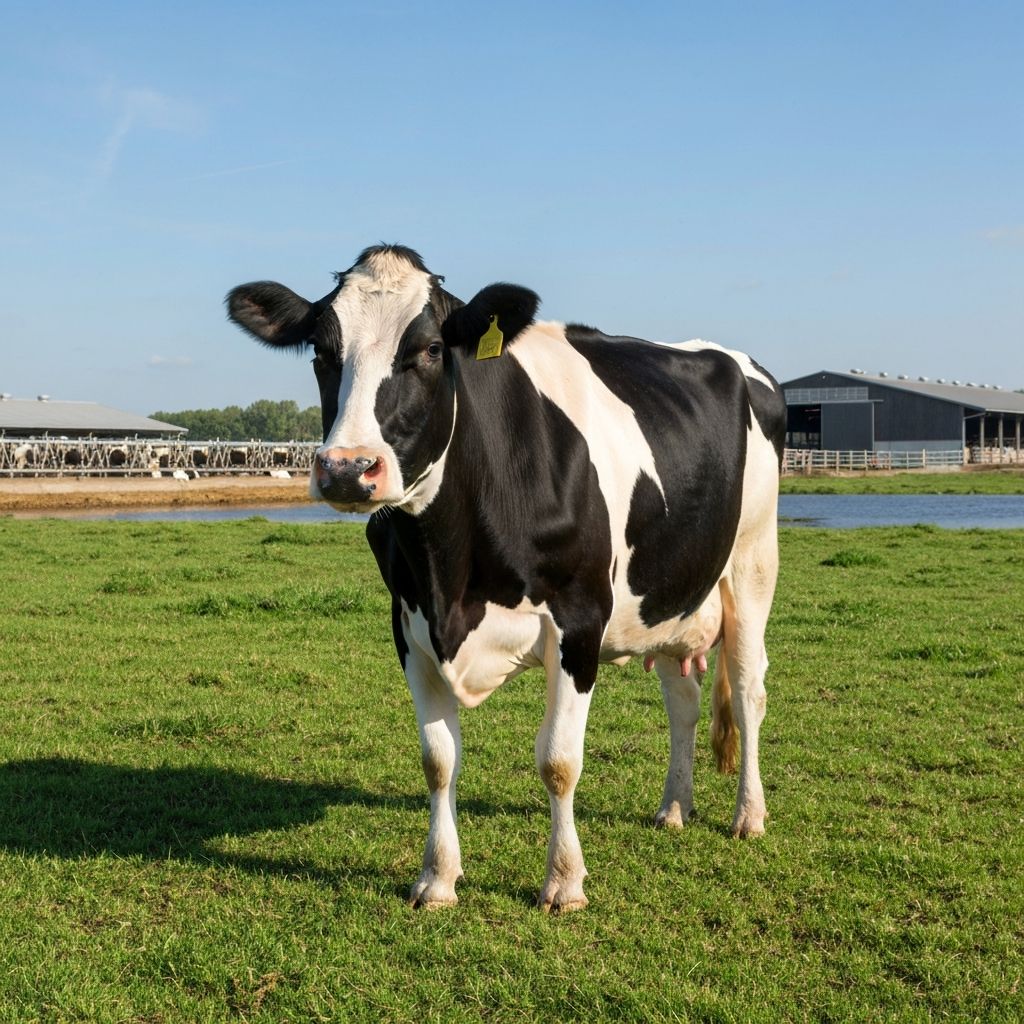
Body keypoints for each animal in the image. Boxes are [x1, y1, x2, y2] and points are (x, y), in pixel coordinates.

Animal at [226, 244, 786, 911]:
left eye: (430, 349)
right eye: (320, 351)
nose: (347, 470)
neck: (450, 574)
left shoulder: (579, 620)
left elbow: (559, 761)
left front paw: (564, 882)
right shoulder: (408, 623)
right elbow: (438, 758)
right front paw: (438, 878)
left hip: (753, 561)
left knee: (749, 689)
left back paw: (748, 816)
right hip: (674, 594)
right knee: (684, 699)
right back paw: (673, 807)